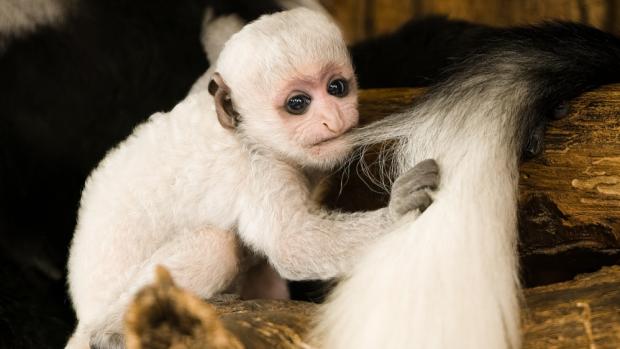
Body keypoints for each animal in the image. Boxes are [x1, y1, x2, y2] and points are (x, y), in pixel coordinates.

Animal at [65, 8, 438, 348]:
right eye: (298, 103)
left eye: (337, 87)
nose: (333, 118)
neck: (249, 134)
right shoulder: (261, 171)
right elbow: (293, 246)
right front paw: (399, 209)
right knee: (214, 244)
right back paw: (107, 333)